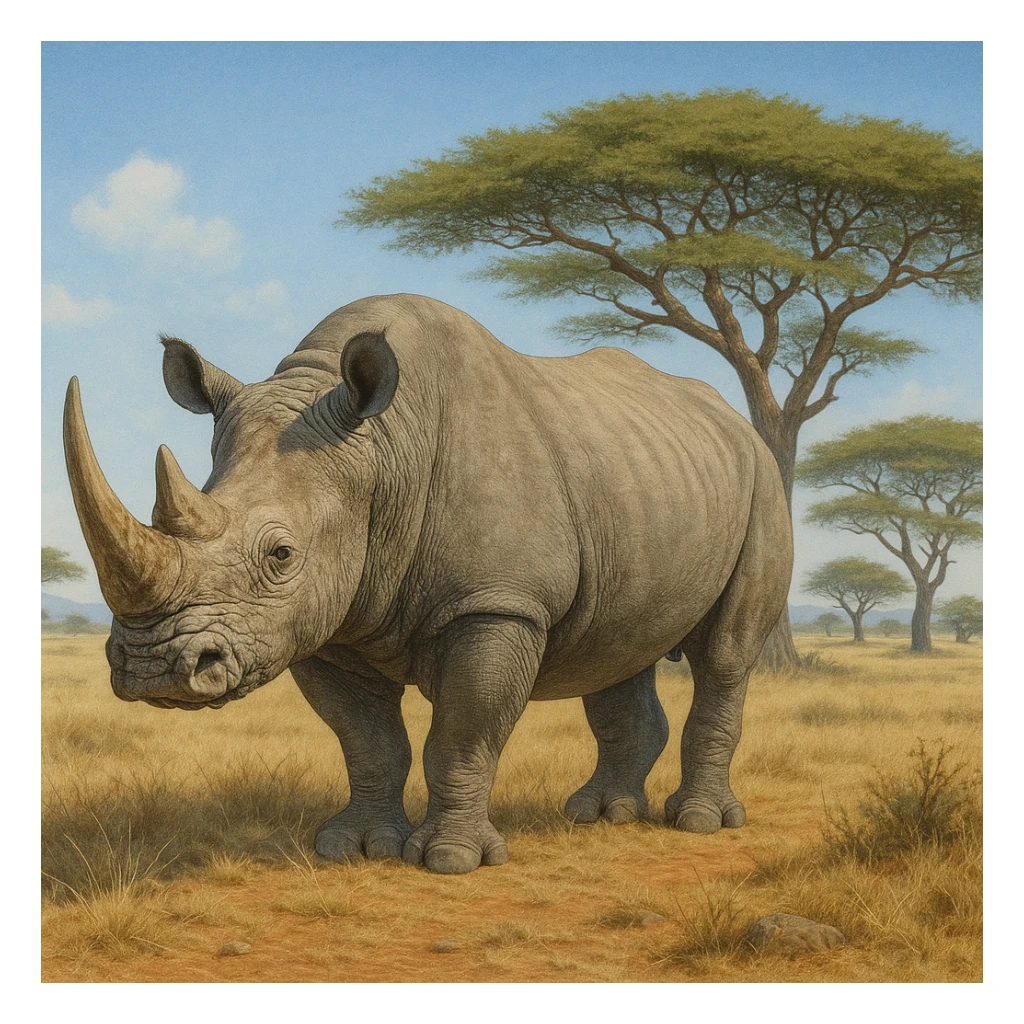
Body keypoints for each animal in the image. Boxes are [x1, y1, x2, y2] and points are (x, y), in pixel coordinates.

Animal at [64, 294, 792, 875]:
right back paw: (599, 815)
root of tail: (733, 419)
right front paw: (353, 848)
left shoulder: (497, 603)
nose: (155, 668)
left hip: (760, 477)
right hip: (644, 480)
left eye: (281, 554)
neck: (382, 452)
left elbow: (464, 732)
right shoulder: (324, 619)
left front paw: (450, 860)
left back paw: (698, 822)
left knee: (726, 655)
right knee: (618, 648)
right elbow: (367, 742)